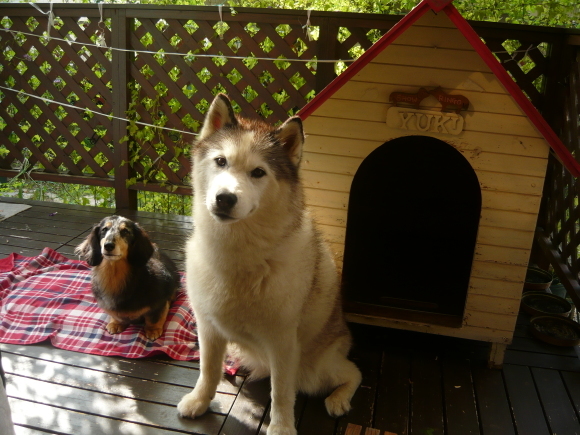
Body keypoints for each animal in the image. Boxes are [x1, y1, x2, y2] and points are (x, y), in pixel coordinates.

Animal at [177, 93, 360, 434]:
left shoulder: (283, 343)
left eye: (258, 172)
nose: (225, 198)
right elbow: (207, 371)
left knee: (353, 373)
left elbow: (282, 393)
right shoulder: (208, 328)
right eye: (220, 161)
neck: (238, 254)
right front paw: (199, 400)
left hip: (316, 370)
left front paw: (282, 427)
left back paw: (339, 399)